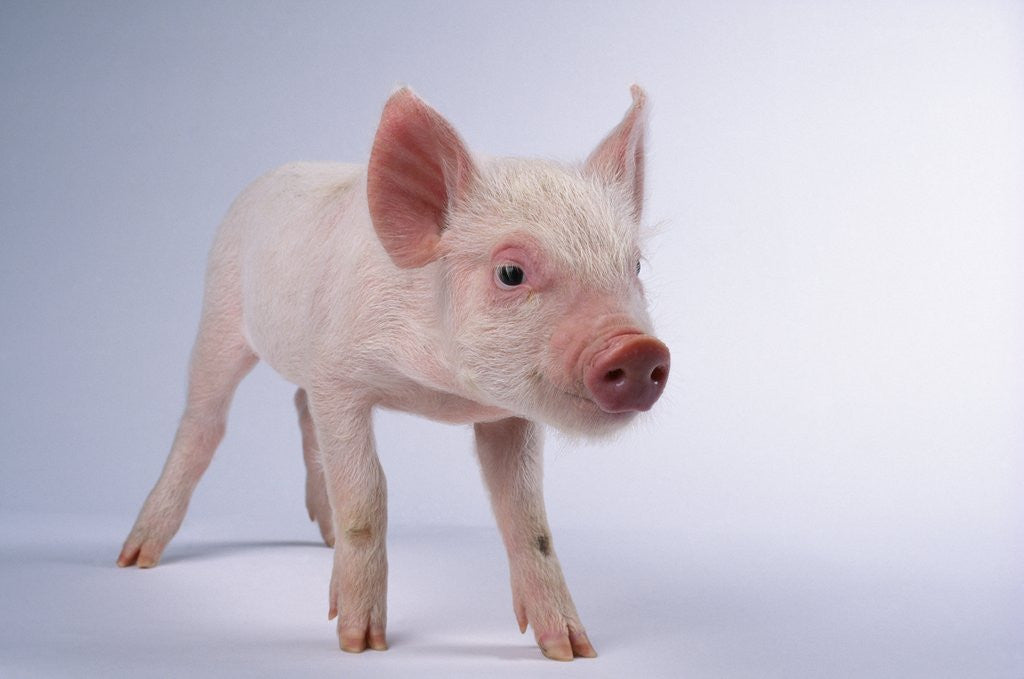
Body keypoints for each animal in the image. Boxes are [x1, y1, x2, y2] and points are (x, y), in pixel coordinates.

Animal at [117, 85, 670, 661]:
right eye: (510, 272)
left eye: (634, 267)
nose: (637, 347)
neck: (437, 390)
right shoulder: (340, 376)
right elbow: (367, 492)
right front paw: (360, 643)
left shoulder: (506, 413)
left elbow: (526, 514)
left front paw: (571, 650)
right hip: (221, 314)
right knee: (205, 419)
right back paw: (136, 557)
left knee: (301, 408)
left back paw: (326, 539)